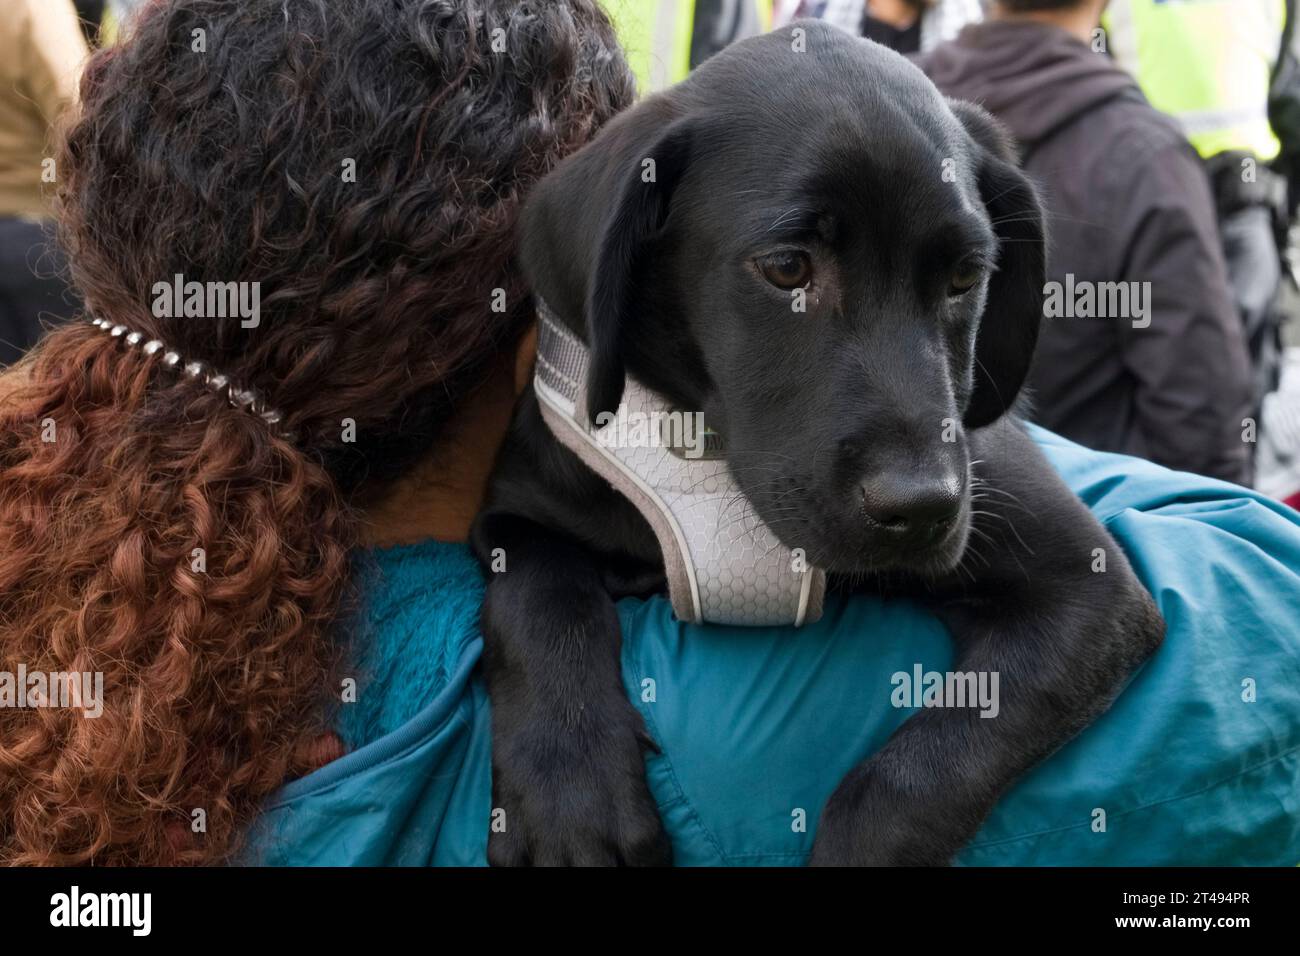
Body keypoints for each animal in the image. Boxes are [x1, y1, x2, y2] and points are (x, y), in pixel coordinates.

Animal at [473, 22, 1164, 868]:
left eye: (966, 277)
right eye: (786, 268)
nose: (924, 508)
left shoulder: (1092, 591)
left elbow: (934, 762)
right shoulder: (518, 511)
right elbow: (537, 601)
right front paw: (570, 790)